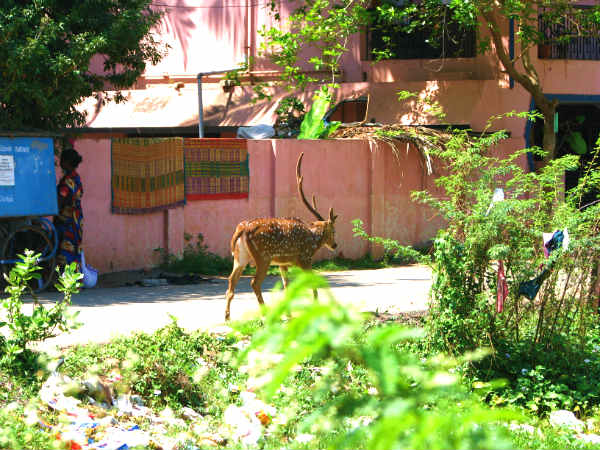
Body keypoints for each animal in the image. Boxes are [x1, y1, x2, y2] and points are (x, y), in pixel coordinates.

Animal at [225, 153, 338, 322]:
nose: (335, 245)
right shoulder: (304, 258)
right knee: (254, 282)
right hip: (263, 256)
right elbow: (311, 283)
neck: (313, 241)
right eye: (334, 231)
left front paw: (289, 314)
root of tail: (243, 228)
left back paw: (227, 317)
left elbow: (286, 286)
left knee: (231, 280)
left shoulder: (282, 263)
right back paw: (265, 314)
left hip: (240, 257)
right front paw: (315, 308)